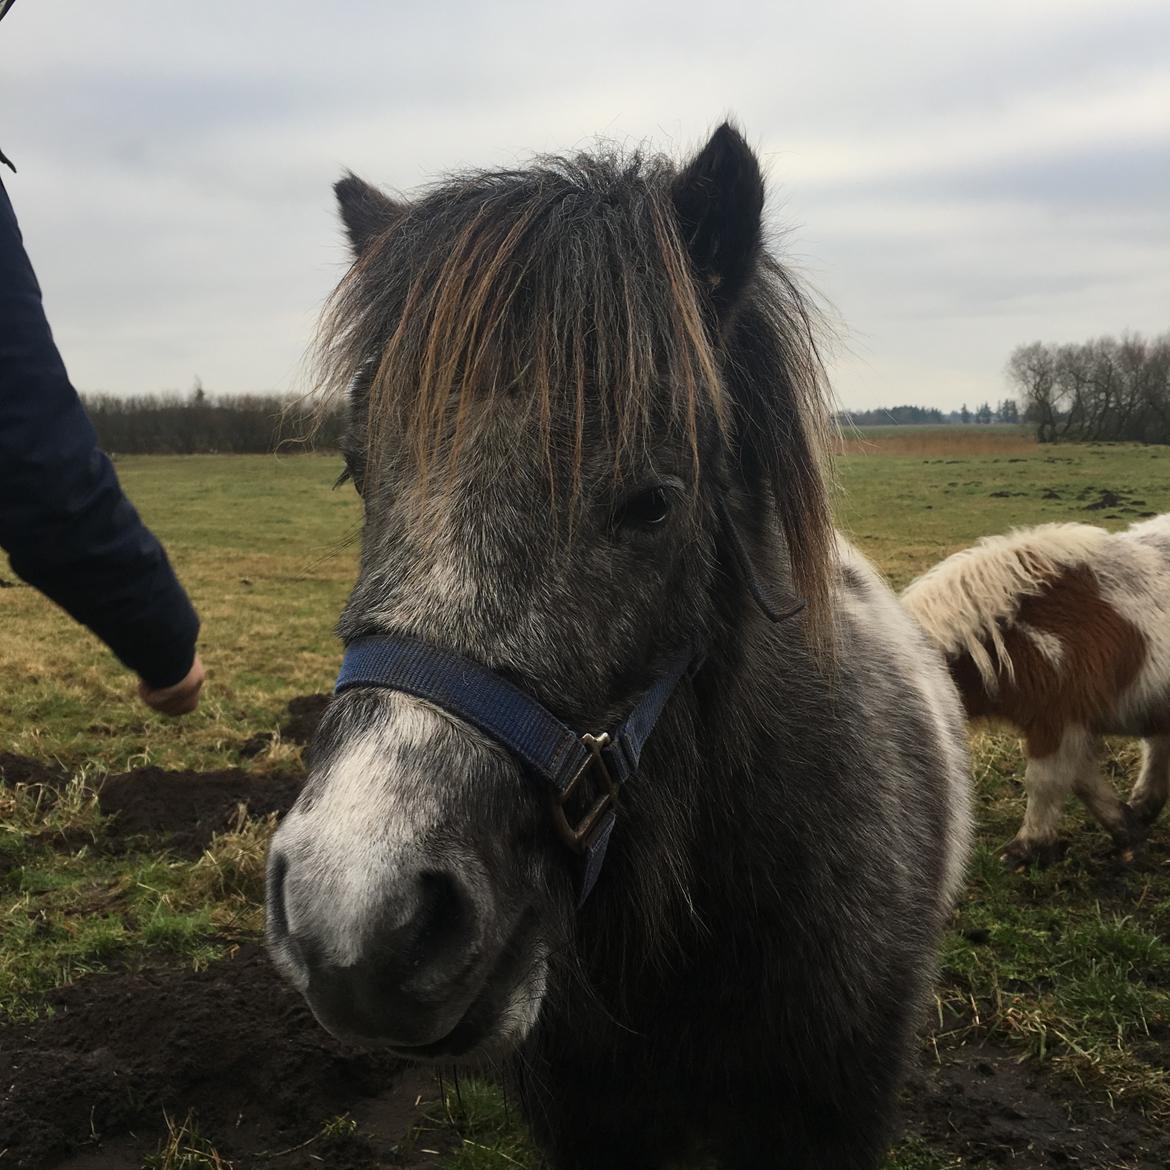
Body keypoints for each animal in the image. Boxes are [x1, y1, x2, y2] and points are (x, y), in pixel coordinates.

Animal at [903, 517, 1170, 865]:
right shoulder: (1067, 724)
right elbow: (1082, 781)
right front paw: (1127, 831)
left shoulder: (1059, 720)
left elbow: (1044, 781)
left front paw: (1026, 847)